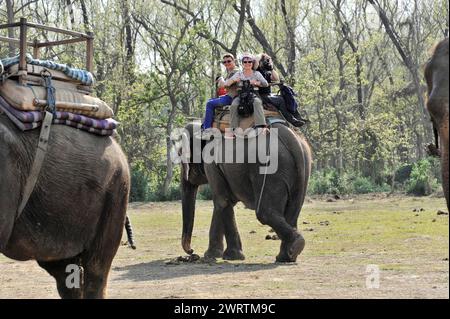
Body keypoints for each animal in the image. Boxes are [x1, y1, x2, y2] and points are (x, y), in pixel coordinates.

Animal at [177, 122, 312, 262]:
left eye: (180, 154)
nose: (191, 251)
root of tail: (292, 138)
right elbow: (224, 202)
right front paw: (212, 255)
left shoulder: (212, 164)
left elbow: (222, 200)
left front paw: (232, 256)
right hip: (302, 169)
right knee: (293, 211)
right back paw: (286, 256)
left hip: (270, 169)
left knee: (265, 213)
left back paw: (293, 248)